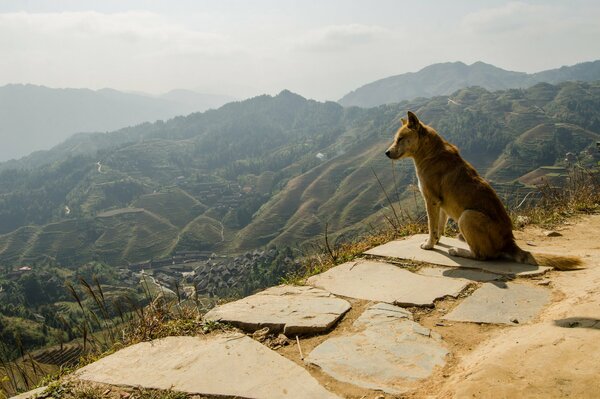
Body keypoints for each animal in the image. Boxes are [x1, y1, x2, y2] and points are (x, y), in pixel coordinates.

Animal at [384, 111, 580, 270]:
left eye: (400, 139)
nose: (386, 153)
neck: (430, 152)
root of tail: (509, 242)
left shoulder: (431, 200)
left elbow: (432, 227)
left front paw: (429, 244)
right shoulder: (441, 204)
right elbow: (439, 226)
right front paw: (437, 241)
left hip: (467, 216)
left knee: (482, 256)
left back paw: (458, 251)